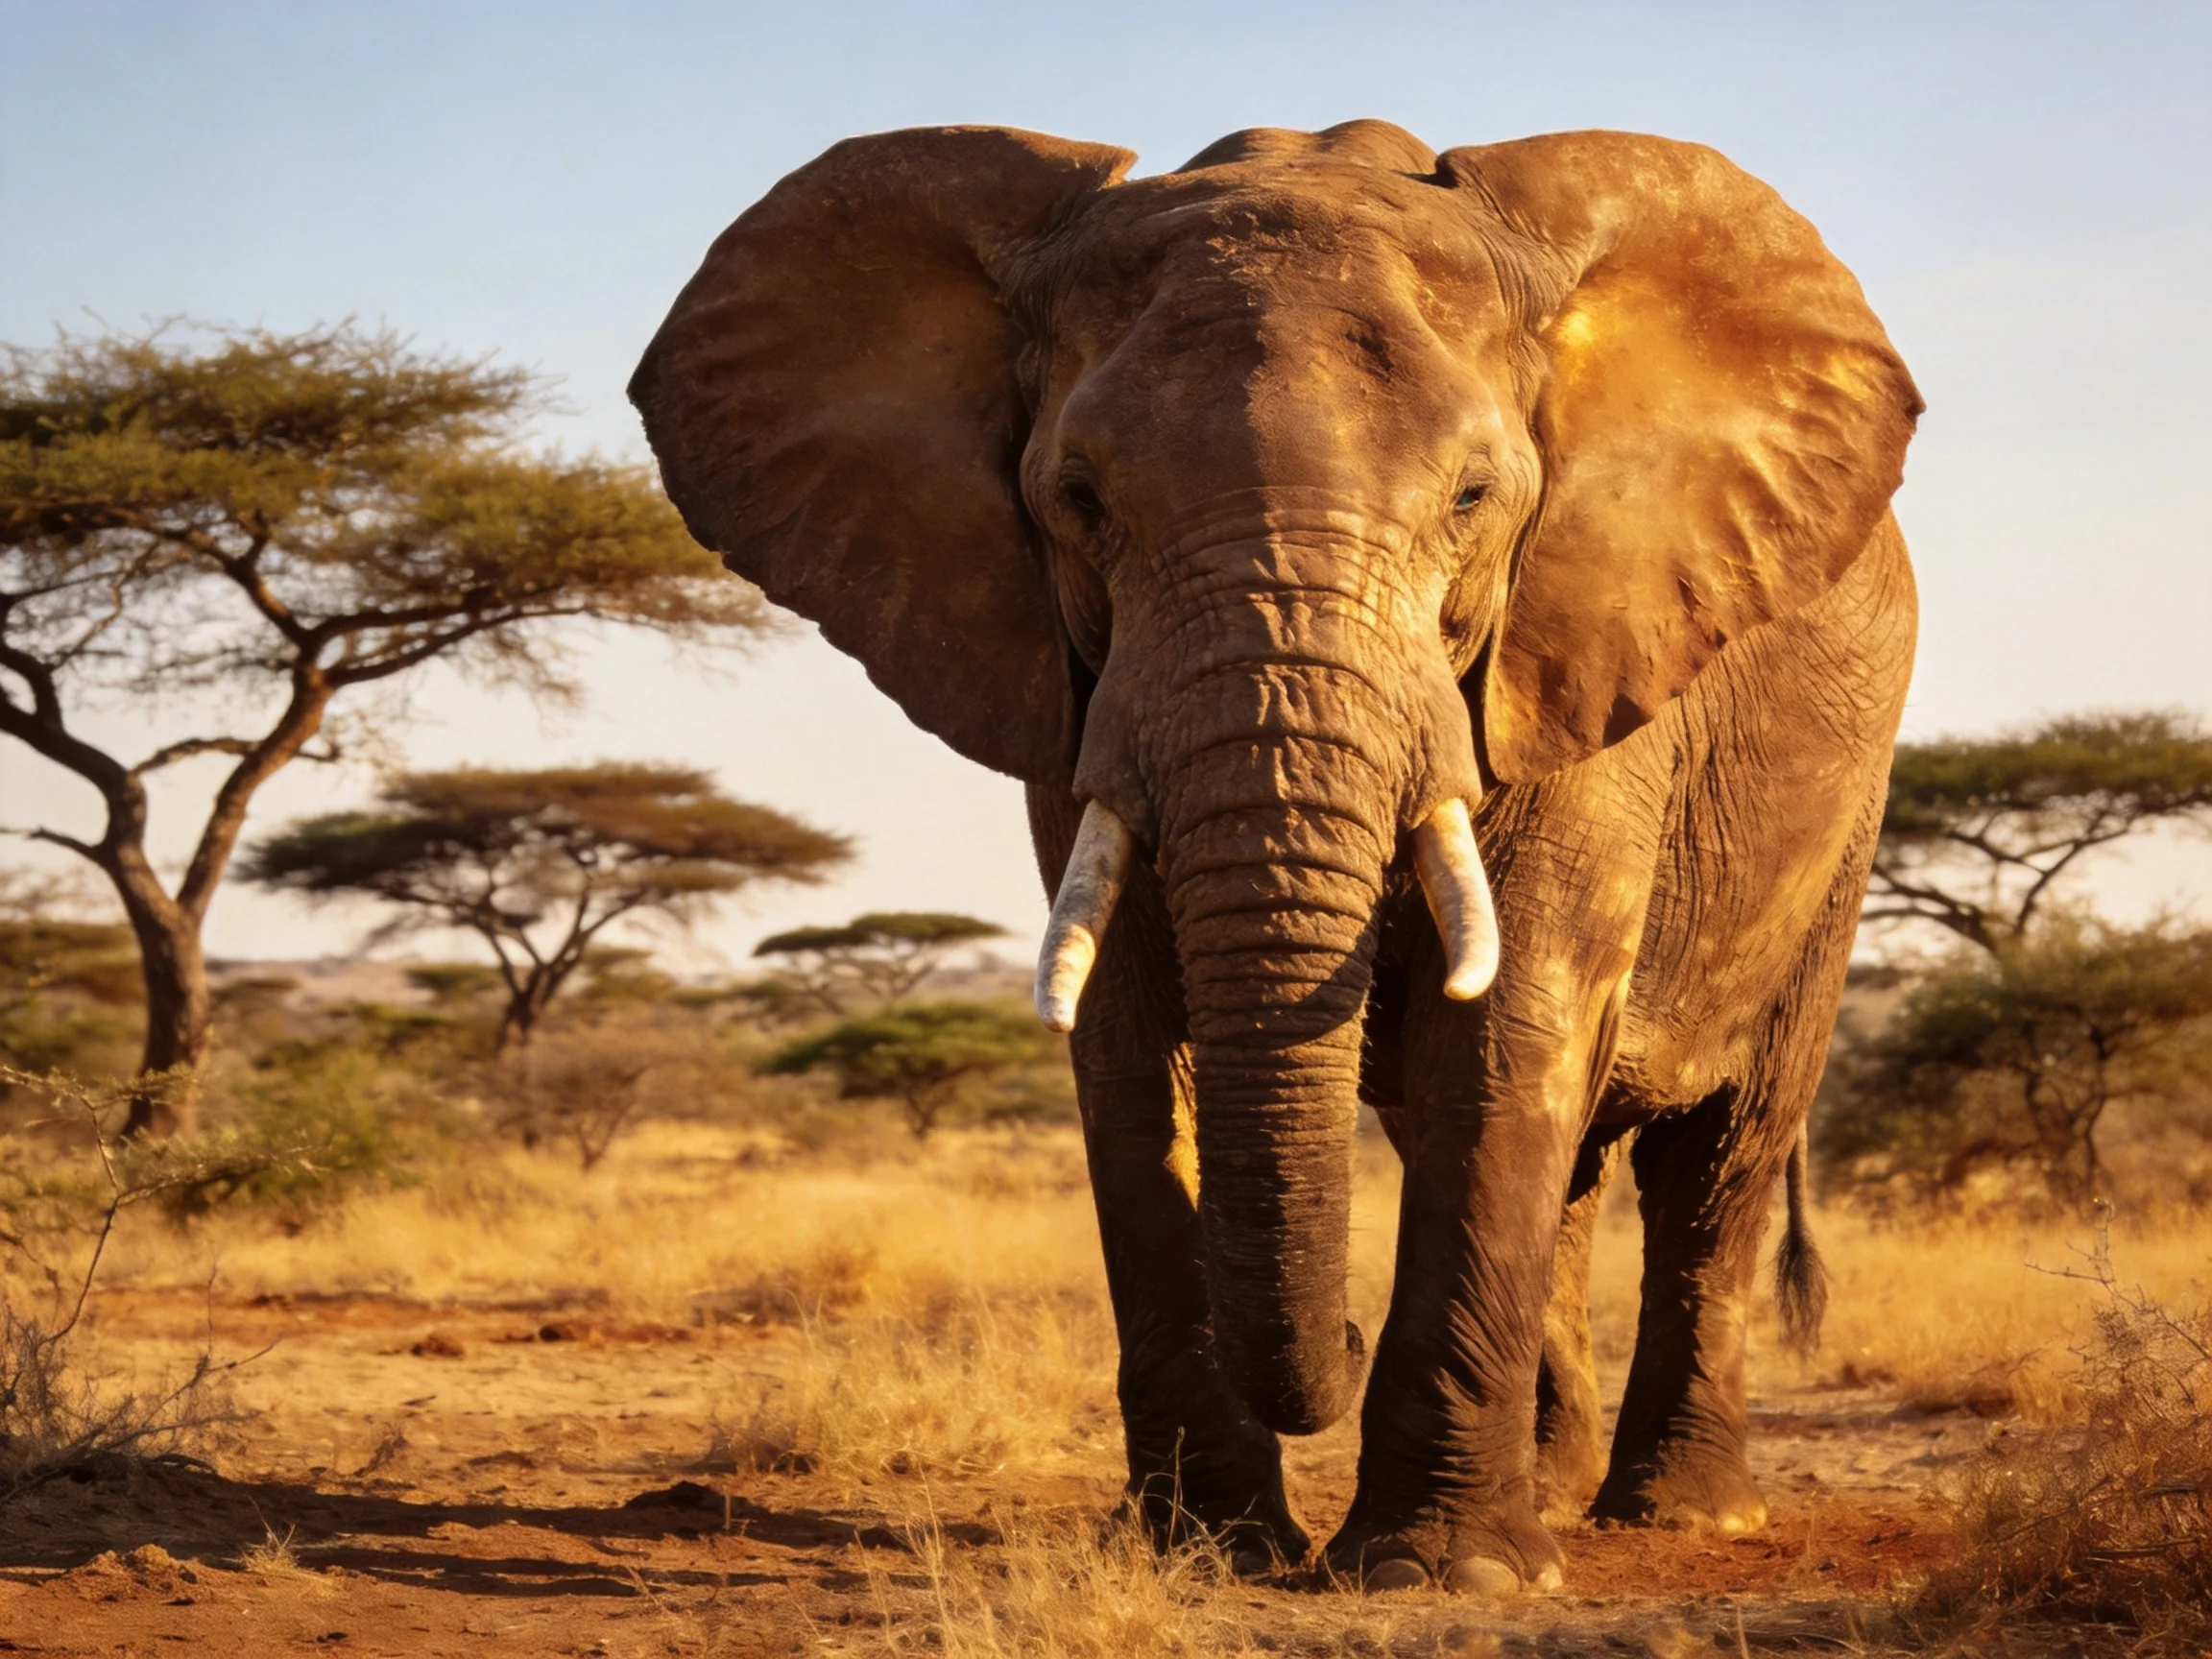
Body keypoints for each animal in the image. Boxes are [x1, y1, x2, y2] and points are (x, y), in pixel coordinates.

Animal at [630, 118, 1919, 1594]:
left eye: (1475, 496)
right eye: (1078, 499)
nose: (1337, 1345)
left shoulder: (1570, 651)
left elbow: (1512, 1026)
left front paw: (1438, 1577)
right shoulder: (1073, 685)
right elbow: (1130, 1039)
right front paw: (1212, 1555)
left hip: (1846, 816)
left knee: (1718, 1157)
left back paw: (1684, 1517)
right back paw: (1554, 1488)